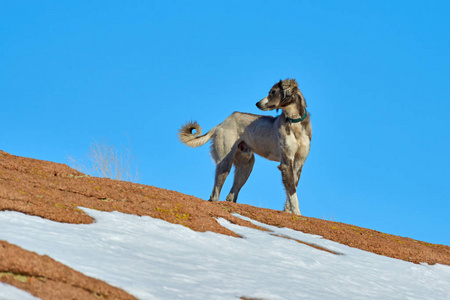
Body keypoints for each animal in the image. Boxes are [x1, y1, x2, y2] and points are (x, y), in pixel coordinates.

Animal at [178, 78, 312, 214]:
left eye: (273, 92)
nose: (257, 103)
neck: (295, 122)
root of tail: (222, 123)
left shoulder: (298, 163)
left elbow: (291, 190)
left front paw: (288, 212)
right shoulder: (286, 162)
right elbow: (292, 193)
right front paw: (297, 213)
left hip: (246, 165)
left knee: (230, 196)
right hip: (225, 162)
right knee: (215, 194)